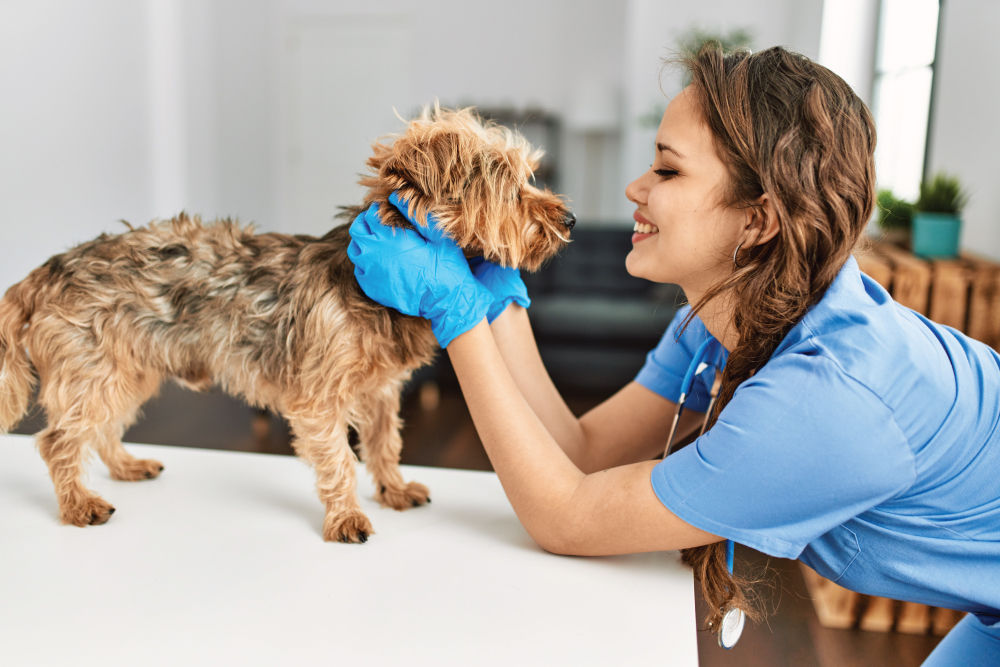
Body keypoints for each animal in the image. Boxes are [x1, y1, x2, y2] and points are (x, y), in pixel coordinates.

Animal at [0, 105, 576, 544]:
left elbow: (383, 442)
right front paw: (347, 518)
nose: (569, 219)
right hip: (96, 368)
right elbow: (340, 458)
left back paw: (124, 466)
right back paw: (79, 503)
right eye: (508, 182)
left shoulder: (380, 391)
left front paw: (392, 489)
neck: (371, 286)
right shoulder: (319, 397)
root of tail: (42, 272)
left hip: (131, 369)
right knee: (60, 439)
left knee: (100, 428)